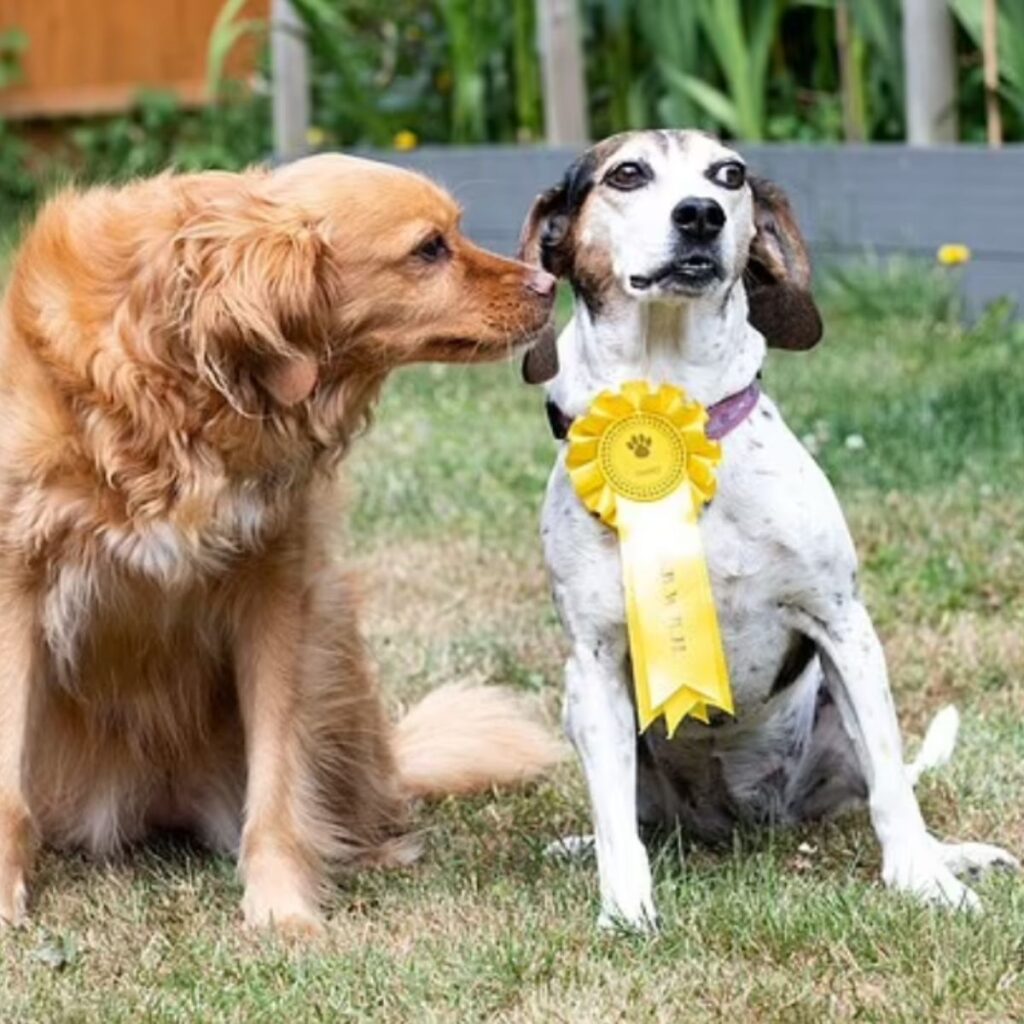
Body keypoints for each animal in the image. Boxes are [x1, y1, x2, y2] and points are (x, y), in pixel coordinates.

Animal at [520, 128, 1015, 929]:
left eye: (730, 174)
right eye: (627, 174)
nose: (701, 214)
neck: (678, 407)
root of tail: (743, 823)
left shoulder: (843, 627)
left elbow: (892, 790)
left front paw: (926, 882)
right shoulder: (594, 664)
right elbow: (615, 822)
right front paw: (625, 911)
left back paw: (954, 853)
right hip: (579, 710)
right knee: (637, 819)